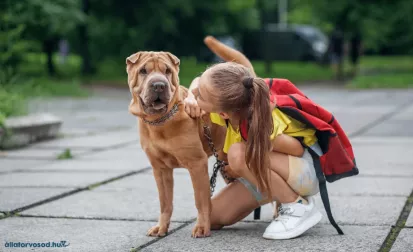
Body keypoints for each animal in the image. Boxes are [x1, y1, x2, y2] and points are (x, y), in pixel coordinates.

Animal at [124, 51, 224, 238]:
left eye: (167, 71)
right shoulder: (160, 169)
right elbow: (165, 202)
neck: (160, 122)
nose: (158, 85)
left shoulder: (197, 164)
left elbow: (201, 200)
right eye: (143, 71)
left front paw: (202, 227)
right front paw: (161, 227)